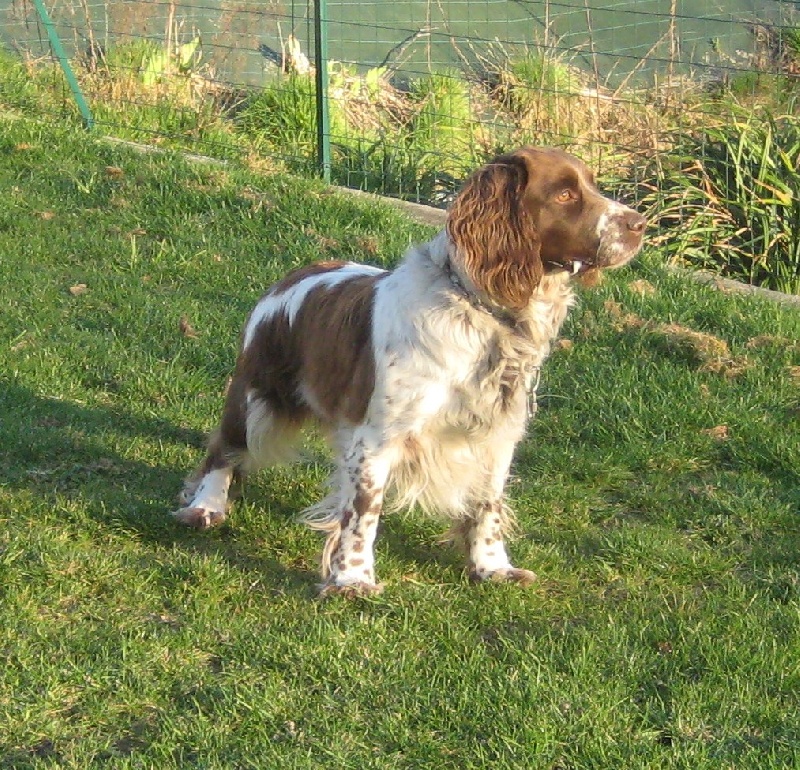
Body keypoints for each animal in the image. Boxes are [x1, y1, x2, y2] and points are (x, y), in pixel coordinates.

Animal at [173, 148, 644, 592]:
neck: (486, 316)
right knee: (225, 448)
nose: (640, 223)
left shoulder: (496, 437)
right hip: (257, 394)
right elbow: (364, 513)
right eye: (565, 194)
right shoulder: (378, 439)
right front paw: (352, 579)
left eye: (592, 185)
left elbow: (487, 505)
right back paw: (206, 507)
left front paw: (493, 567)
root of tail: (294, 276)